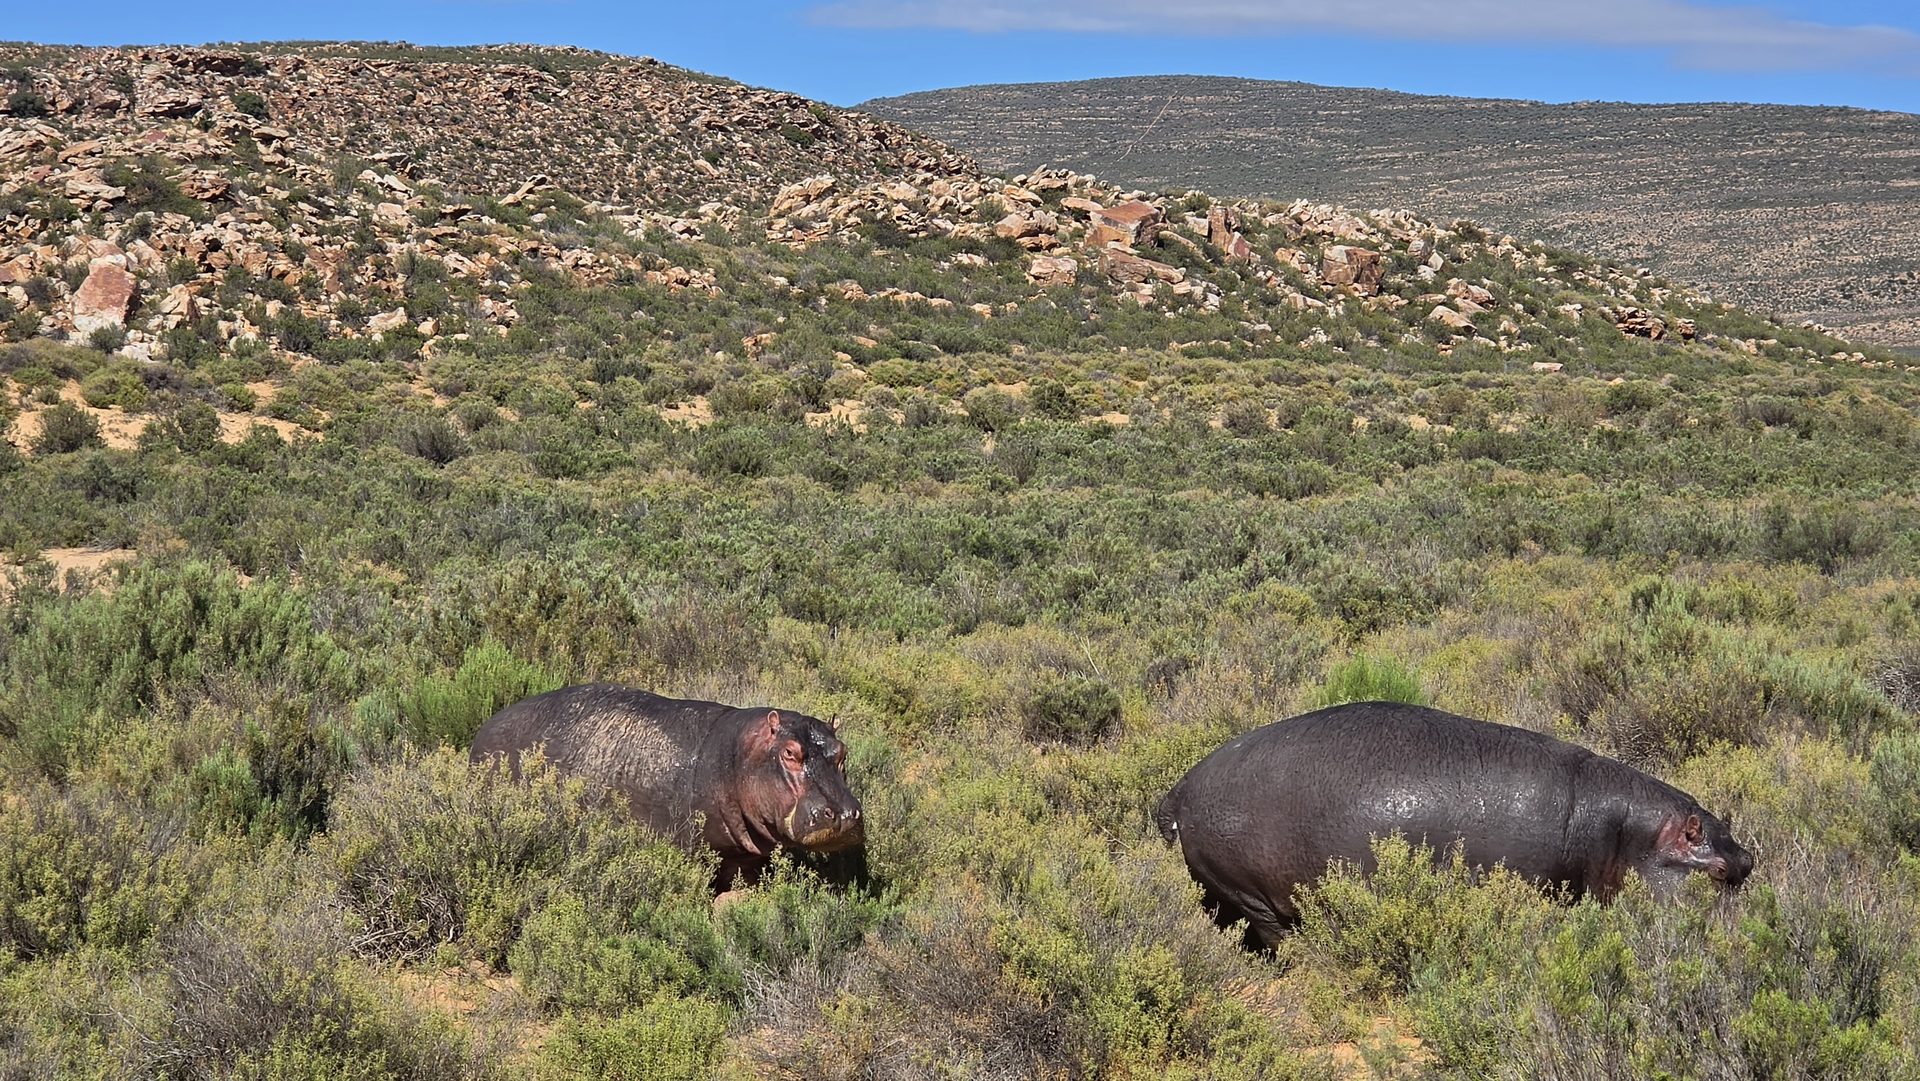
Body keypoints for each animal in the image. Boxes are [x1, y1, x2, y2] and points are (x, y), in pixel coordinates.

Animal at [469, 684, 864, 888]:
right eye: (790, 752)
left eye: (842, 751)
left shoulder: (744, 858)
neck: (735, 755)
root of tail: (483, 728)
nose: (845, 813)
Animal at [1154, 701, 1753, 947]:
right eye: (1718, 869)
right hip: (1249, 886)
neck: (1622, 831)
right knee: (1274, 932)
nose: (1748, 857)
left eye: (1744, 859)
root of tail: (1179, 788)